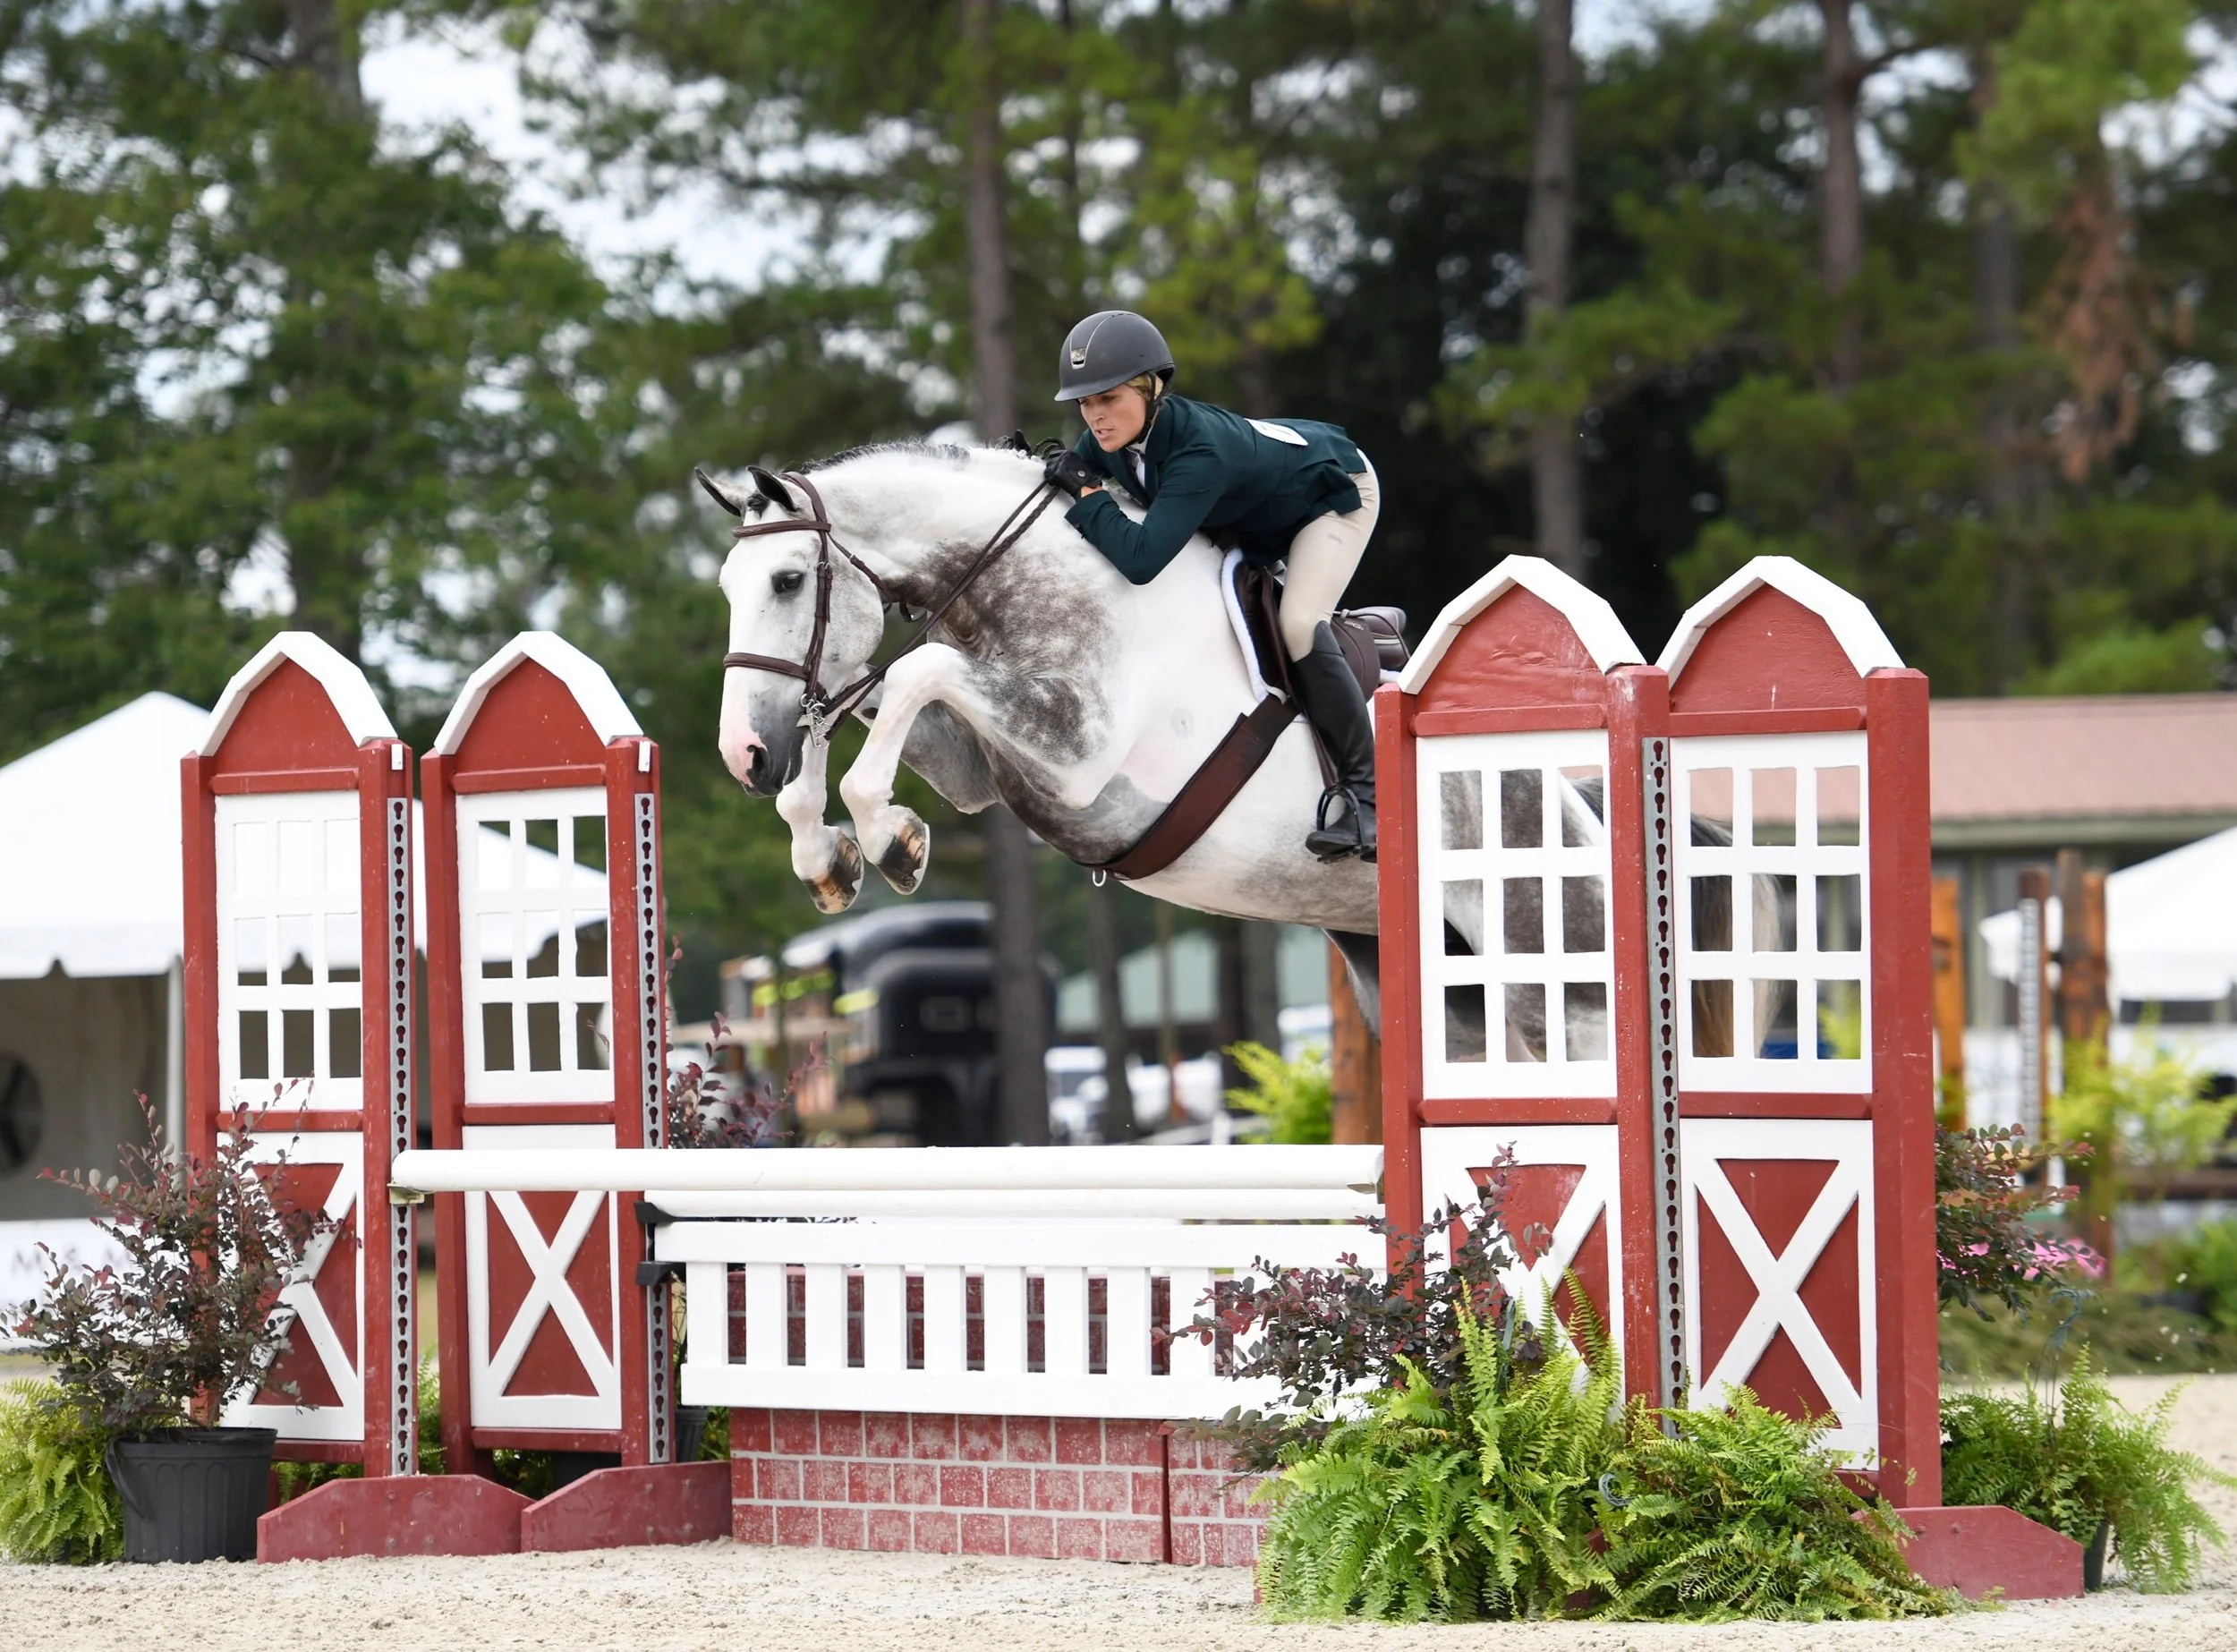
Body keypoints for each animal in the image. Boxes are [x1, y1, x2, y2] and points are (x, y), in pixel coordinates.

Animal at [701, 440, 1384, 1028]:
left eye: (787, 581)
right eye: (727, 587)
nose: (744, 757)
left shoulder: (1079, 756)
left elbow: (917, 668)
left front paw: (891, 840)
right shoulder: (975, 770)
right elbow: (861, 689)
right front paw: (826, 859)